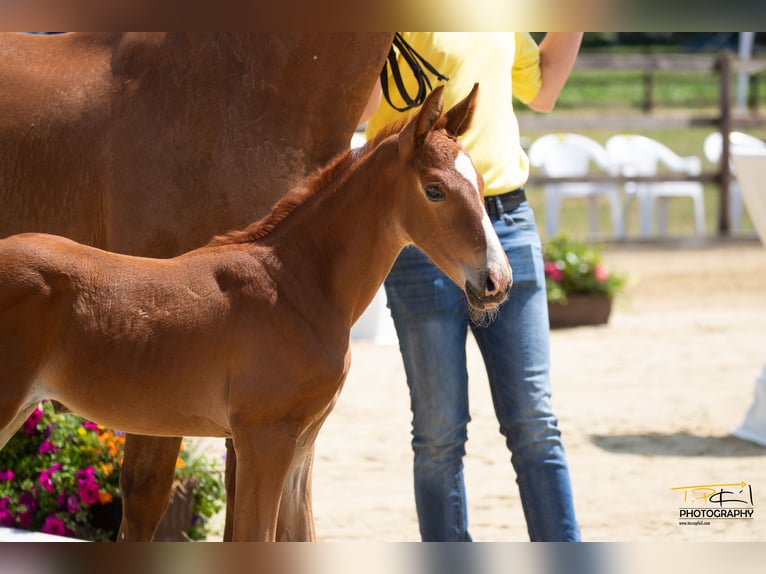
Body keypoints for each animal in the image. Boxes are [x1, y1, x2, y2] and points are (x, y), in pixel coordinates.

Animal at [1, 83, 516, 544]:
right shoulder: (264, 437)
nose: (497, 281)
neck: (294, 288)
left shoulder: (303, 443)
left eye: (483, 185)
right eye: (435, 190)